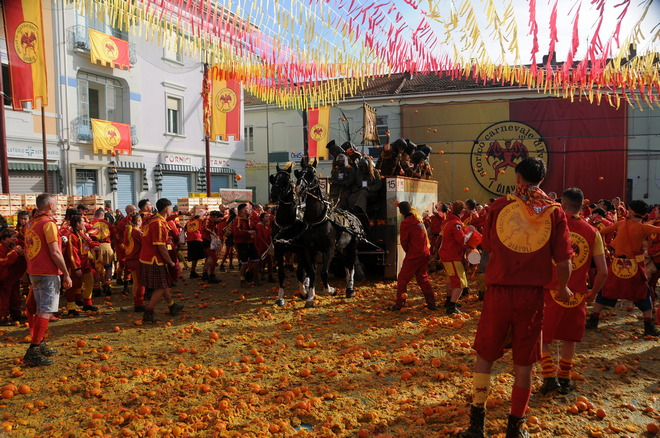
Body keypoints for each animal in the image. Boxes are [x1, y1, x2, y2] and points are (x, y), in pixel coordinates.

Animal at [268, 163, 309, 306]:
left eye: (286, 181)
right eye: (274, 179)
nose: (273, 195)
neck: (286, 223)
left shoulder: (301, 250)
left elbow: (299, 272)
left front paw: (303, 292)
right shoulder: (279, 250)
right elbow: (281, 273)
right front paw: (280, 297)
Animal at [294, 157, 363, 308]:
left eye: (312, 173)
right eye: (299, 173)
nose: (299, 188)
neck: (316, 220)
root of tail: (353, 217)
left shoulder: (329, 249)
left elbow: (324, 273)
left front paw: (331, 290)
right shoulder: (309, 249)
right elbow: (312, 273)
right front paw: (310, 297)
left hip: (352, 247)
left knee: (351, 265)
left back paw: (350, 289)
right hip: (341, 248)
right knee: (346, 265)